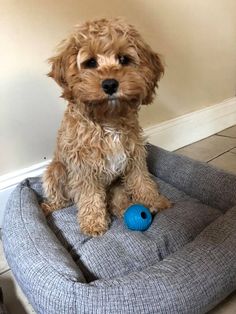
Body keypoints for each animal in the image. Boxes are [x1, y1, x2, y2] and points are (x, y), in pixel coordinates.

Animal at [42, 17, 171, 236]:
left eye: (124, 59)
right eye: (91, 62)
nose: (110, 84)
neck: (108, 120)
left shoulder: (134, 155)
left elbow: (141, 179)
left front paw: (152, 200)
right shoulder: (83, 166)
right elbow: (89, 195)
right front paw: (93, 222)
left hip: (115, 184)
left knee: (117, 198)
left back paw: (124, 208)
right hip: (55, 170)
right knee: (62, 199)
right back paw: (49, 206)